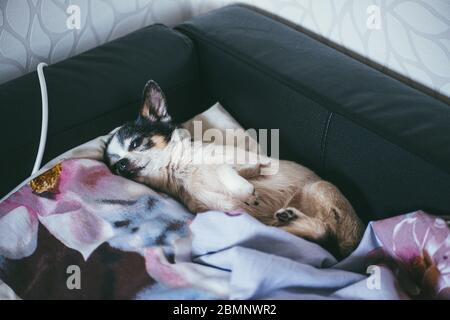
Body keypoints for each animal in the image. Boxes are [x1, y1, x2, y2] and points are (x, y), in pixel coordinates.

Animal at [103, 80, 364, 258]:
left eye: (136, 143)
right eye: (115, 167)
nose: (122, 165)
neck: (181, 169)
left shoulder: (251, 161)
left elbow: (226, 168)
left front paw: (246, 192)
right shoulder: (212, 207)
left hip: (319, 188)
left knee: (327, 231)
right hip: (285, 227)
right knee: (319, 233)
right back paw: (290, 218)